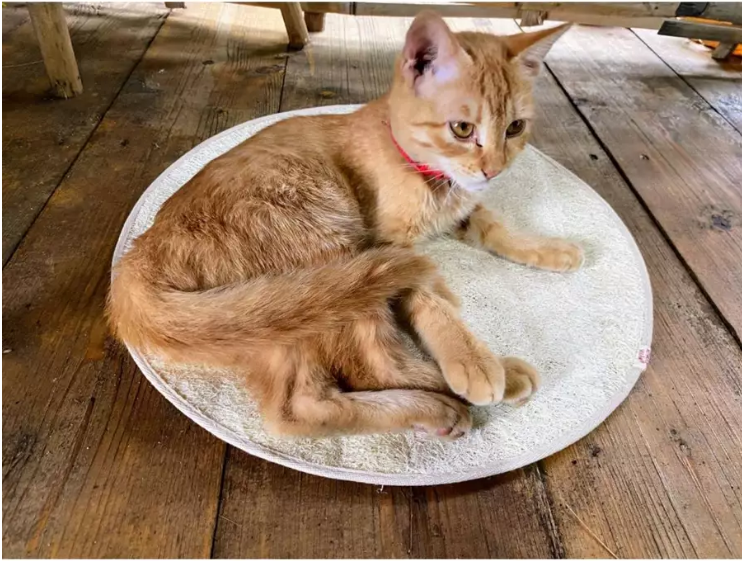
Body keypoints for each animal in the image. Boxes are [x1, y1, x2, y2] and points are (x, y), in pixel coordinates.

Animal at [108, 12, 582, 440]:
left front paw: (551, 249)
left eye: (515, 128)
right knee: (370, 368)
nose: (493, 170)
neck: (433, 181)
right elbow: (431, 302)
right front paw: (471, 358)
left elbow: (496, 226)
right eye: (462, 129)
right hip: (333, 252)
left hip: (286, 315)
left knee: (297, 409)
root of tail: (138, 255)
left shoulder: (463, 210)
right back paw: (474, 388)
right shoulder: (394, 243)